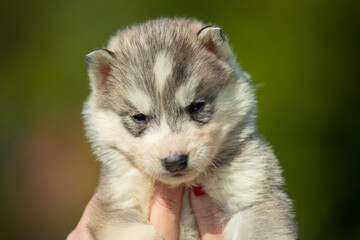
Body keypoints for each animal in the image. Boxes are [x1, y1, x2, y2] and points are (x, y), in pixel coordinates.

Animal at [83, 17, 296, 240]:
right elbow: (141, 231)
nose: (175, 162)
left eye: (197, 106)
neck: (183, 186)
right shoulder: (115, 204)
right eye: (139, 117)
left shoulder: (255, 194)